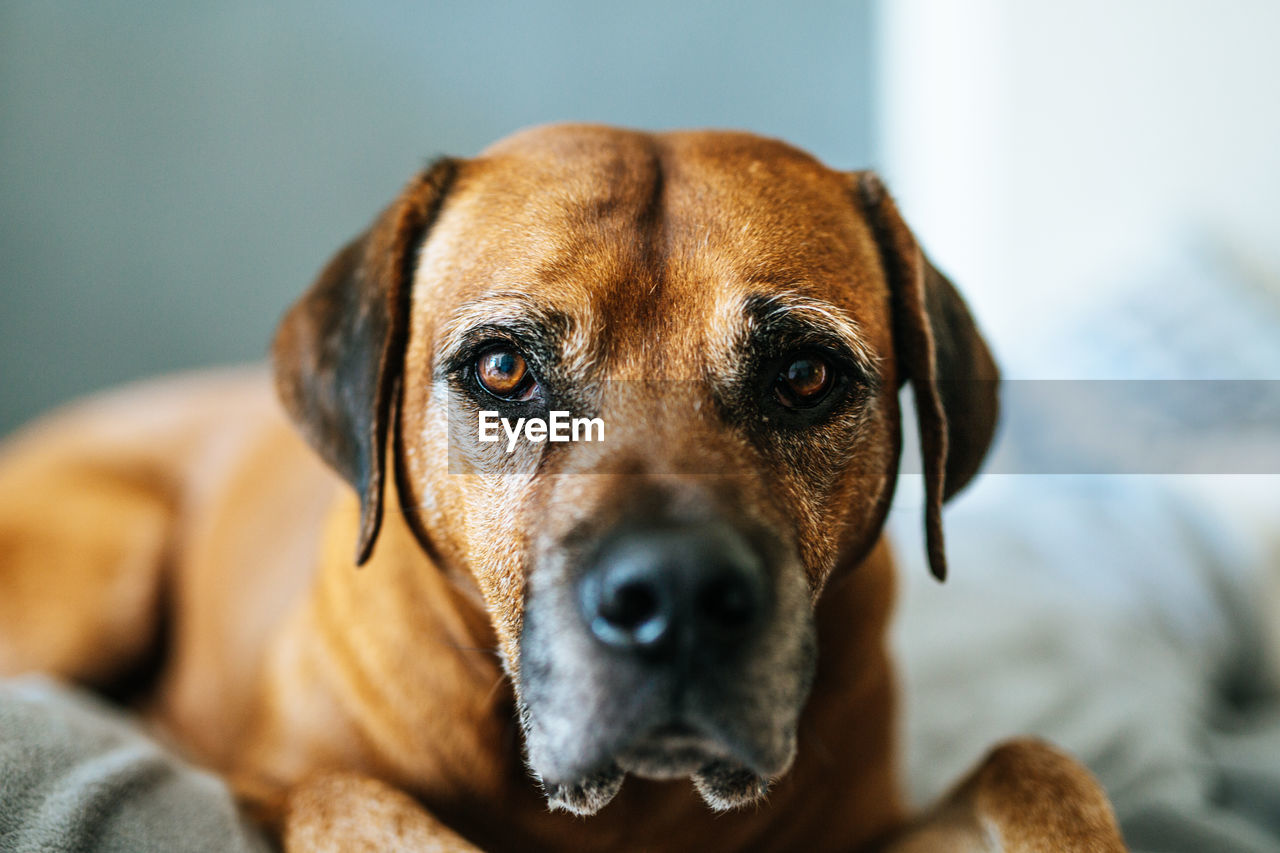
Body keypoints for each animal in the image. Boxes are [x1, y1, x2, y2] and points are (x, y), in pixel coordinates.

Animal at [0, 122, 1121, 845]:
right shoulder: (282, 779)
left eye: (806, 376)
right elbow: (355, 803)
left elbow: (1038, 765)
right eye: (503, 369)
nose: (675, 598)